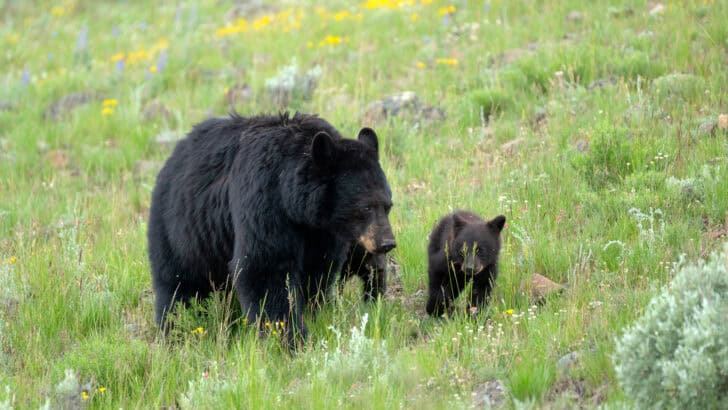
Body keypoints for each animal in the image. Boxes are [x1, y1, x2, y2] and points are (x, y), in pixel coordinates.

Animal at [147, 112, 396, 342]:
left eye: (388, 205)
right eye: (365, 207)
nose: (387, 243)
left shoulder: (322, 233)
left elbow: (317, 272)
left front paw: (312, 314)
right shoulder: (264, 200)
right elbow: (265, 268)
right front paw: (291, 337)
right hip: (184, 231)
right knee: (179, 287)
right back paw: (175, 331)